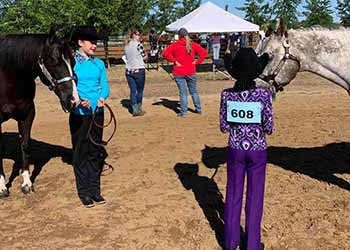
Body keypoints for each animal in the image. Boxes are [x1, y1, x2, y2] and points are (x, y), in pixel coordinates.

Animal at [0, 28, 79, 197]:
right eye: (54, 60)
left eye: (73, 61)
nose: (73, 100)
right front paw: (2, 187)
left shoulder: (28, 114)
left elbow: (25, 145)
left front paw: (26, 183)